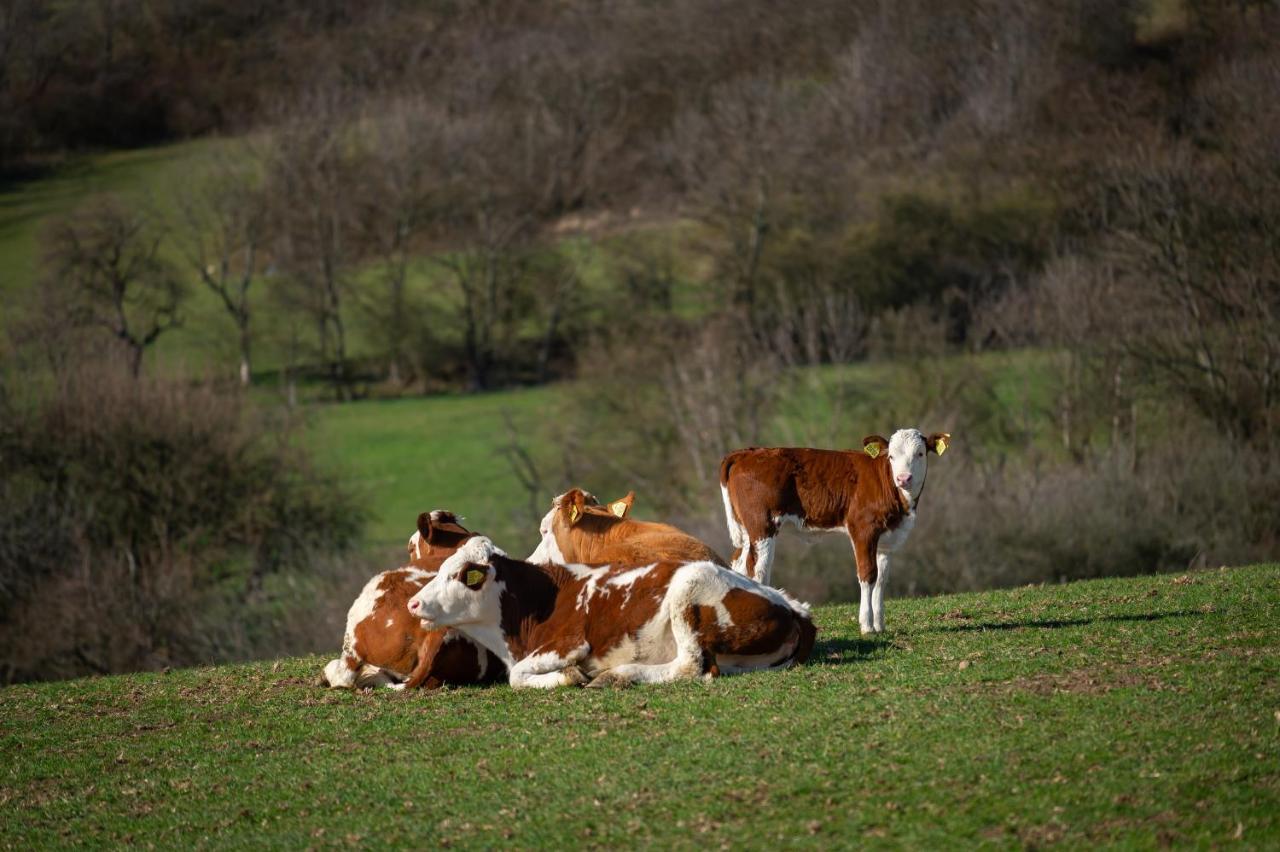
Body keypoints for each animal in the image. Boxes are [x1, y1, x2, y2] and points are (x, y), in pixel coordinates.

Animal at [404, 534, 814, 685]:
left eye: (460, 575)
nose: (413, 603)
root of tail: (793, 606)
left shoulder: (571, 642)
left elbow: (517, 676)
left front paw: (569, 676)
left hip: (689, 584)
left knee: (689, 665)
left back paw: (618, 675)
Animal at [721, 427, 952, 634]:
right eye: (891, 456)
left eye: (920, 453)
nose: (903, 478)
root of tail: (747, 452)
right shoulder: (863, 529)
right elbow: (868, 574)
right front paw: (867, 626)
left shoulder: (887, 540)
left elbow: (881, 579)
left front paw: (880, 625)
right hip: (762, 526)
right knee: (758, 569)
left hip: (747, 532)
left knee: (739, 565)